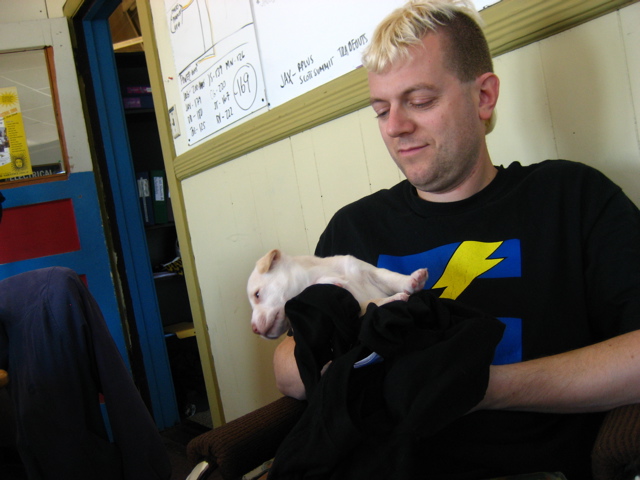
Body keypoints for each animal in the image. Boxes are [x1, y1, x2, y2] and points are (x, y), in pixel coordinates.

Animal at [248, 249, 428, 339]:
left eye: (257, 295)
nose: (254, 329)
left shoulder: (368, 271)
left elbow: (390, 276)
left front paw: (413, 280)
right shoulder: (354, 308)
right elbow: (372, 303)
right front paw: (394, 298)